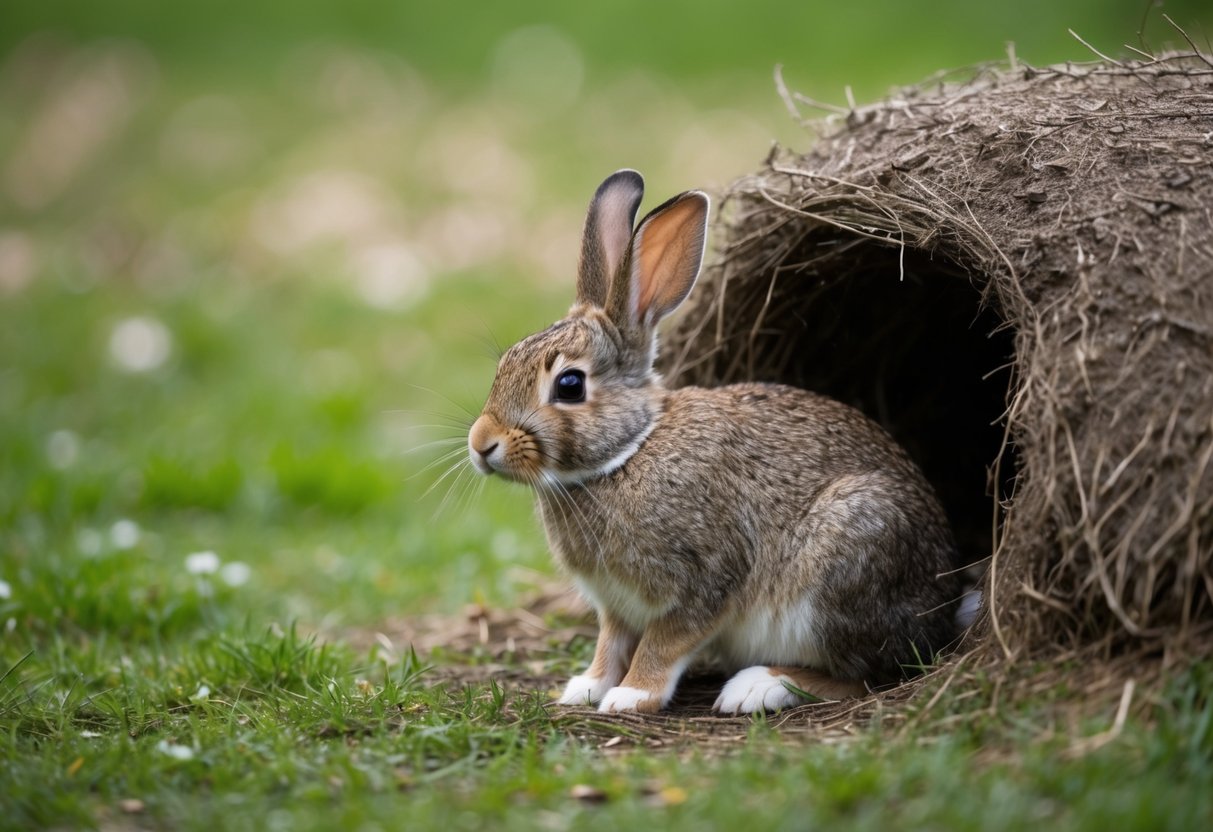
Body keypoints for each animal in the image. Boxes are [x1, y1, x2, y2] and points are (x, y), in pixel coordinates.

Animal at [467, 170, 963, 714]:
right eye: (503, 364)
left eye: (570, 385)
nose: (481, 444)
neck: (628, 452)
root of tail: (944, 605)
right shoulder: (616, 605)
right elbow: (611, 641)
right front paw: (587, 686)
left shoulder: (704, 580)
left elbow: (664, 642)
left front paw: (630, 696)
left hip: (847, 558)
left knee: (869, 673)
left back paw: (757, 687)